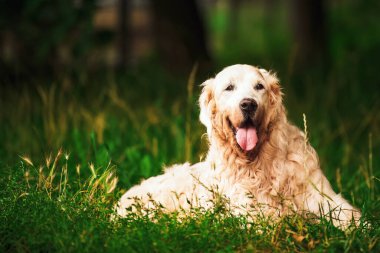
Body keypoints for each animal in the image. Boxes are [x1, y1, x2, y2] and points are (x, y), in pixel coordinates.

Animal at [117, 64, 360, 228]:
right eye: (229, 88)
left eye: (259, 86)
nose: (248, 104)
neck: (258, 163)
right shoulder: (246, 210)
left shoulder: (324, 199)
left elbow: (353, 218)